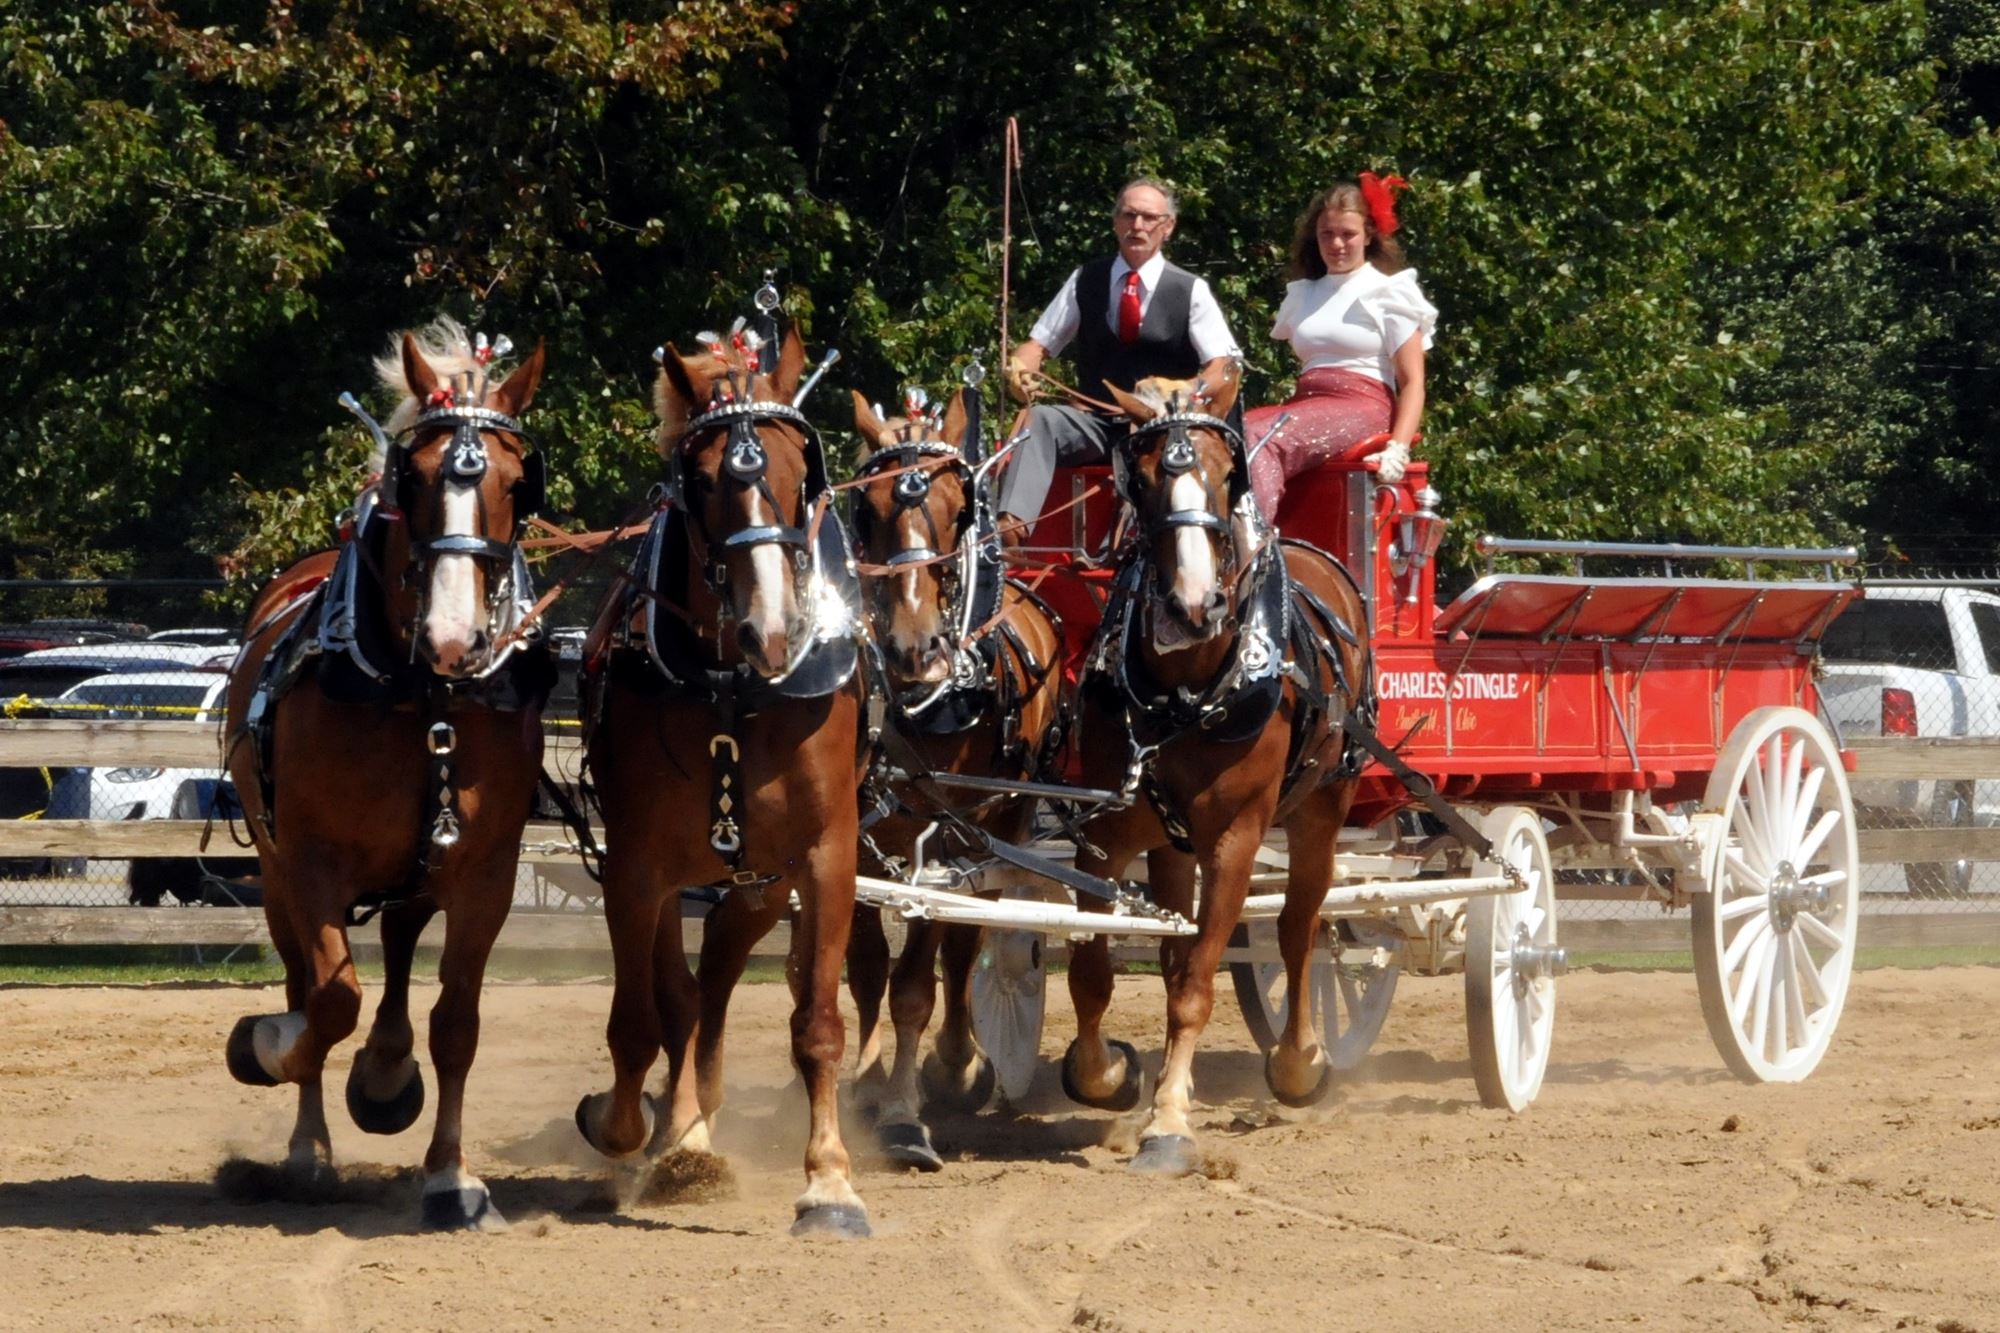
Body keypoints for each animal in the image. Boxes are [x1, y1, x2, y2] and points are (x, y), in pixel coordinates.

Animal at [219, 324, 556, 1224]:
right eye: (418, 477)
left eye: (516, 480)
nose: (454, 635)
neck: (423, 694)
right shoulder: (309, 865)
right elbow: (328, 999)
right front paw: (267, 1047)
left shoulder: (485, 871)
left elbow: (457, 1022)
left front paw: (449, 1175)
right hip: (276, 874)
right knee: (307, 980)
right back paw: (309, 1143)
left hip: (419, 869)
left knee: (403, 950)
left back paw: (385, 1070)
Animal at [572, 322, 868, 1232]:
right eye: (701, 482)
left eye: (798, 470)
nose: (769, 631)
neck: (735, 689)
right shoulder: (635, 869)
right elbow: (637, 1022)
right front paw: (640, 1128)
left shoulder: (825, 857)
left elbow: (817, 1021)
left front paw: (830, 1180)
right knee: (678, 997)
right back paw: (685, 1130)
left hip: (758, 884)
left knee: (714, 984)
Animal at [840, 382, 1064, 1160]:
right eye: (865, 508)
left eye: (957, 506)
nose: (915, 648)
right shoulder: (855, 830)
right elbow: (864, 968)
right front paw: (866, 1080)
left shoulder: (939, 839)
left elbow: (916, 981)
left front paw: (904, 1113)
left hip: (1000, 825)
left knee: (969, 940)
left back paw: (956, 1064)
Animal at [1064, 360, 1376, 1176]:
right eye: (1139, 480)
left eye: (1224, 474)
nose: (1192, 605)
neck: (1185, 688)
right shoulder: (1104, 833)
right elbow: (1093, 972)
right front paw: (1108, 1075)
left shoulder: (1236, 839)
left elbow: (1199, 983)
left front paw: (1170, 1122)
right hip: (1173, 845)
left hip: (1322, 811)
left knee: (1301, 929)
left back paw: (1299, 1062)